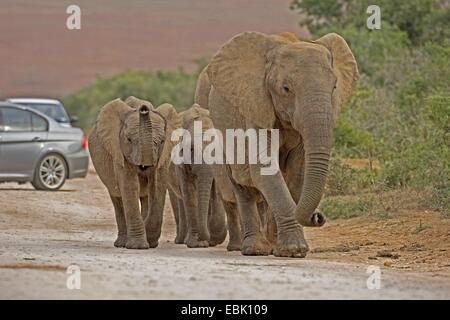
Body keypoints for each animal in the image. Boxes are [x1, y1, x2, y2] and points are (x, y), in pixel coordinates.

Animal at [88, 96, 179, 249]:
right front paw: (138, 246)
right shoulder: (119, 151)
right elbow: (130, 186)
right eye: (129, 140)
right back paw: (121, 243)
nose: (144, 109)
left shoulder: (164, 155)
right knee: (117, 199)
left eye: (162, 141)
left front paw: (151, 242)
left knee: (145, 197)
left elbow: (158, 186)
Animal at [164, 105, 229, 248]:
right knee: (182, 198)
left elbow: (215, 191)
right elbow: (189, 193)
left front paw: (212, 239)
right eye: (192, 149)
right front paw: (196, 243)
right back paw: (182, 240)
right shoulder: (180, 164)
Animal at [203, 31, 358, 258]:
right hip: (222, 130)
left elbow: (297, 173)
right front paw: (294, 250)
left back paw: (268, 244)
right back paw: (255, 249)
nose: (318, 217)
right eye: (286, 89)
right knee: (241, 184)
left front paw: (285, 250)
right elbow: (264, 169)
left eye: (335, 87)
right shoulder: (256, 106)